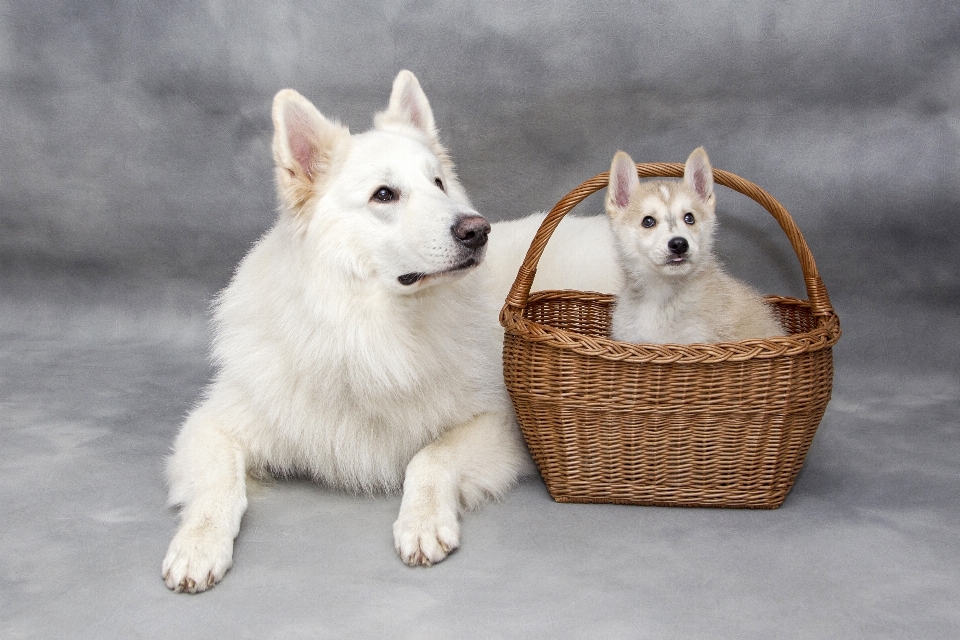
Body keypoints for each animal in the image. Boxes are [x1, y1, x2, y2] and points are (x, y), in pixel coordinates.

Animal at [161, 71, 620, 596]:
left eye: (439, 184)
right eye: (384, 194)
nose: (477, 230)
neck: (370, 330)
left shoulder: (500, 423)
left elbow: (430, 456)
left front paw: (421, 522)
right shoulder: (214, 424)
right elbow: (218, 483)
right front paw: (197, 545)